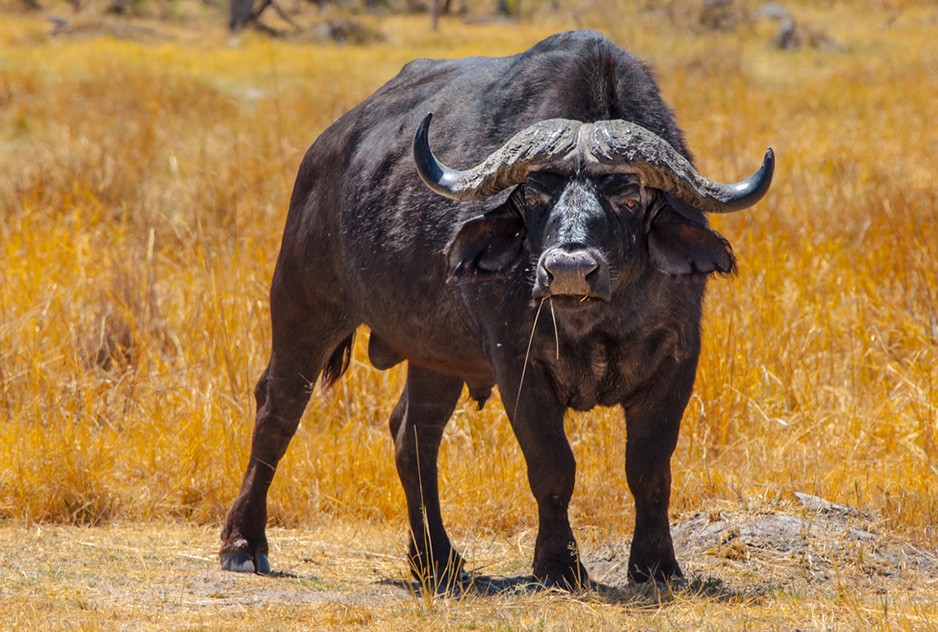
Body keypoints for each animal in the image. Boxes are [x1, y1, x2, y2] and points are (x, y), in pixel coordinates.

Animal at [218, 29, 768, 592]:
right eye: (534, 193)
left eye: (629, 196)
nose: (569, 269)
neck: (593, 322)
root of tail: (324, 153)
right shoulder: (517, 365)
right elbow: (553, 466)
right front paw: (559, 565)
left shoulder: (677, 359)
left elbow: (650, 468)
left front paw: (657, 564)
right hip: (303, 306)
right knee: (277, 411)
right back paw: (244, 544)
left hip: (434, 358)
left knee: (412, 436)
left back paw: (437, 560)